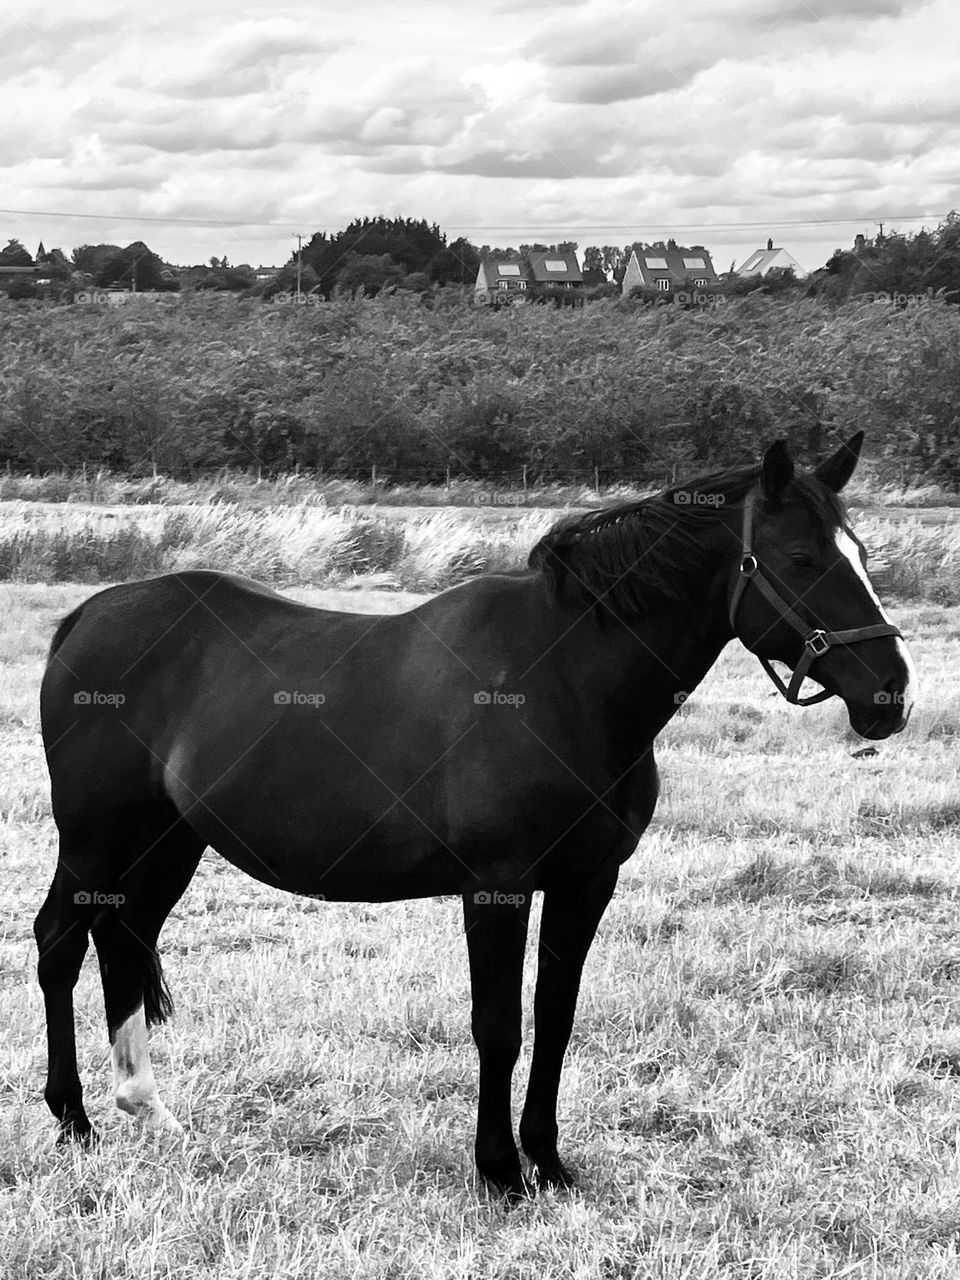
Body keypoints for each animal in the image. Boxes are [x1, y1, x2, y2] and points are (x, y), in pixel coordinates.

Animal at [35, 433, 914, 1198]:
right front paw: (500, 1173)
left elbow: (555, 1019)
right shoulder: (496, 886)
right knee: (60, 944)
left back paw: (148, 1112)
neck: (562, 682)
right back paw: (74, 1122)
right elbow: (499, 1025)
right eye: (801, 560)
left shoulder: (586, 882)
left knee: (122, 940)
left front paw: (549, 1163)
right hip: (94, 840)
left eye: (862, 556)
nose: (891, 695)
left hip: (166, 844)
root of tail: (85, 619)